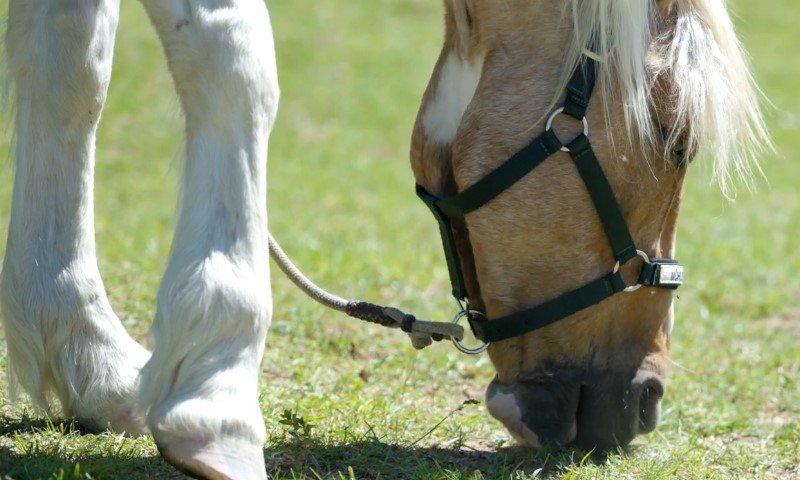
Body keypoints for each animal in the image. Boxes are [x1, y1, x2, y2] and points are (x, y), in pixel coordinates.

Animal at [0, 1, 767, 480]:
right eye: (676, 135)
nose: (646, 401)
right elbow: (235, 55)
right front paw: (217, 390)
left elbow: (72, 61)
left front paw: (85, 352)